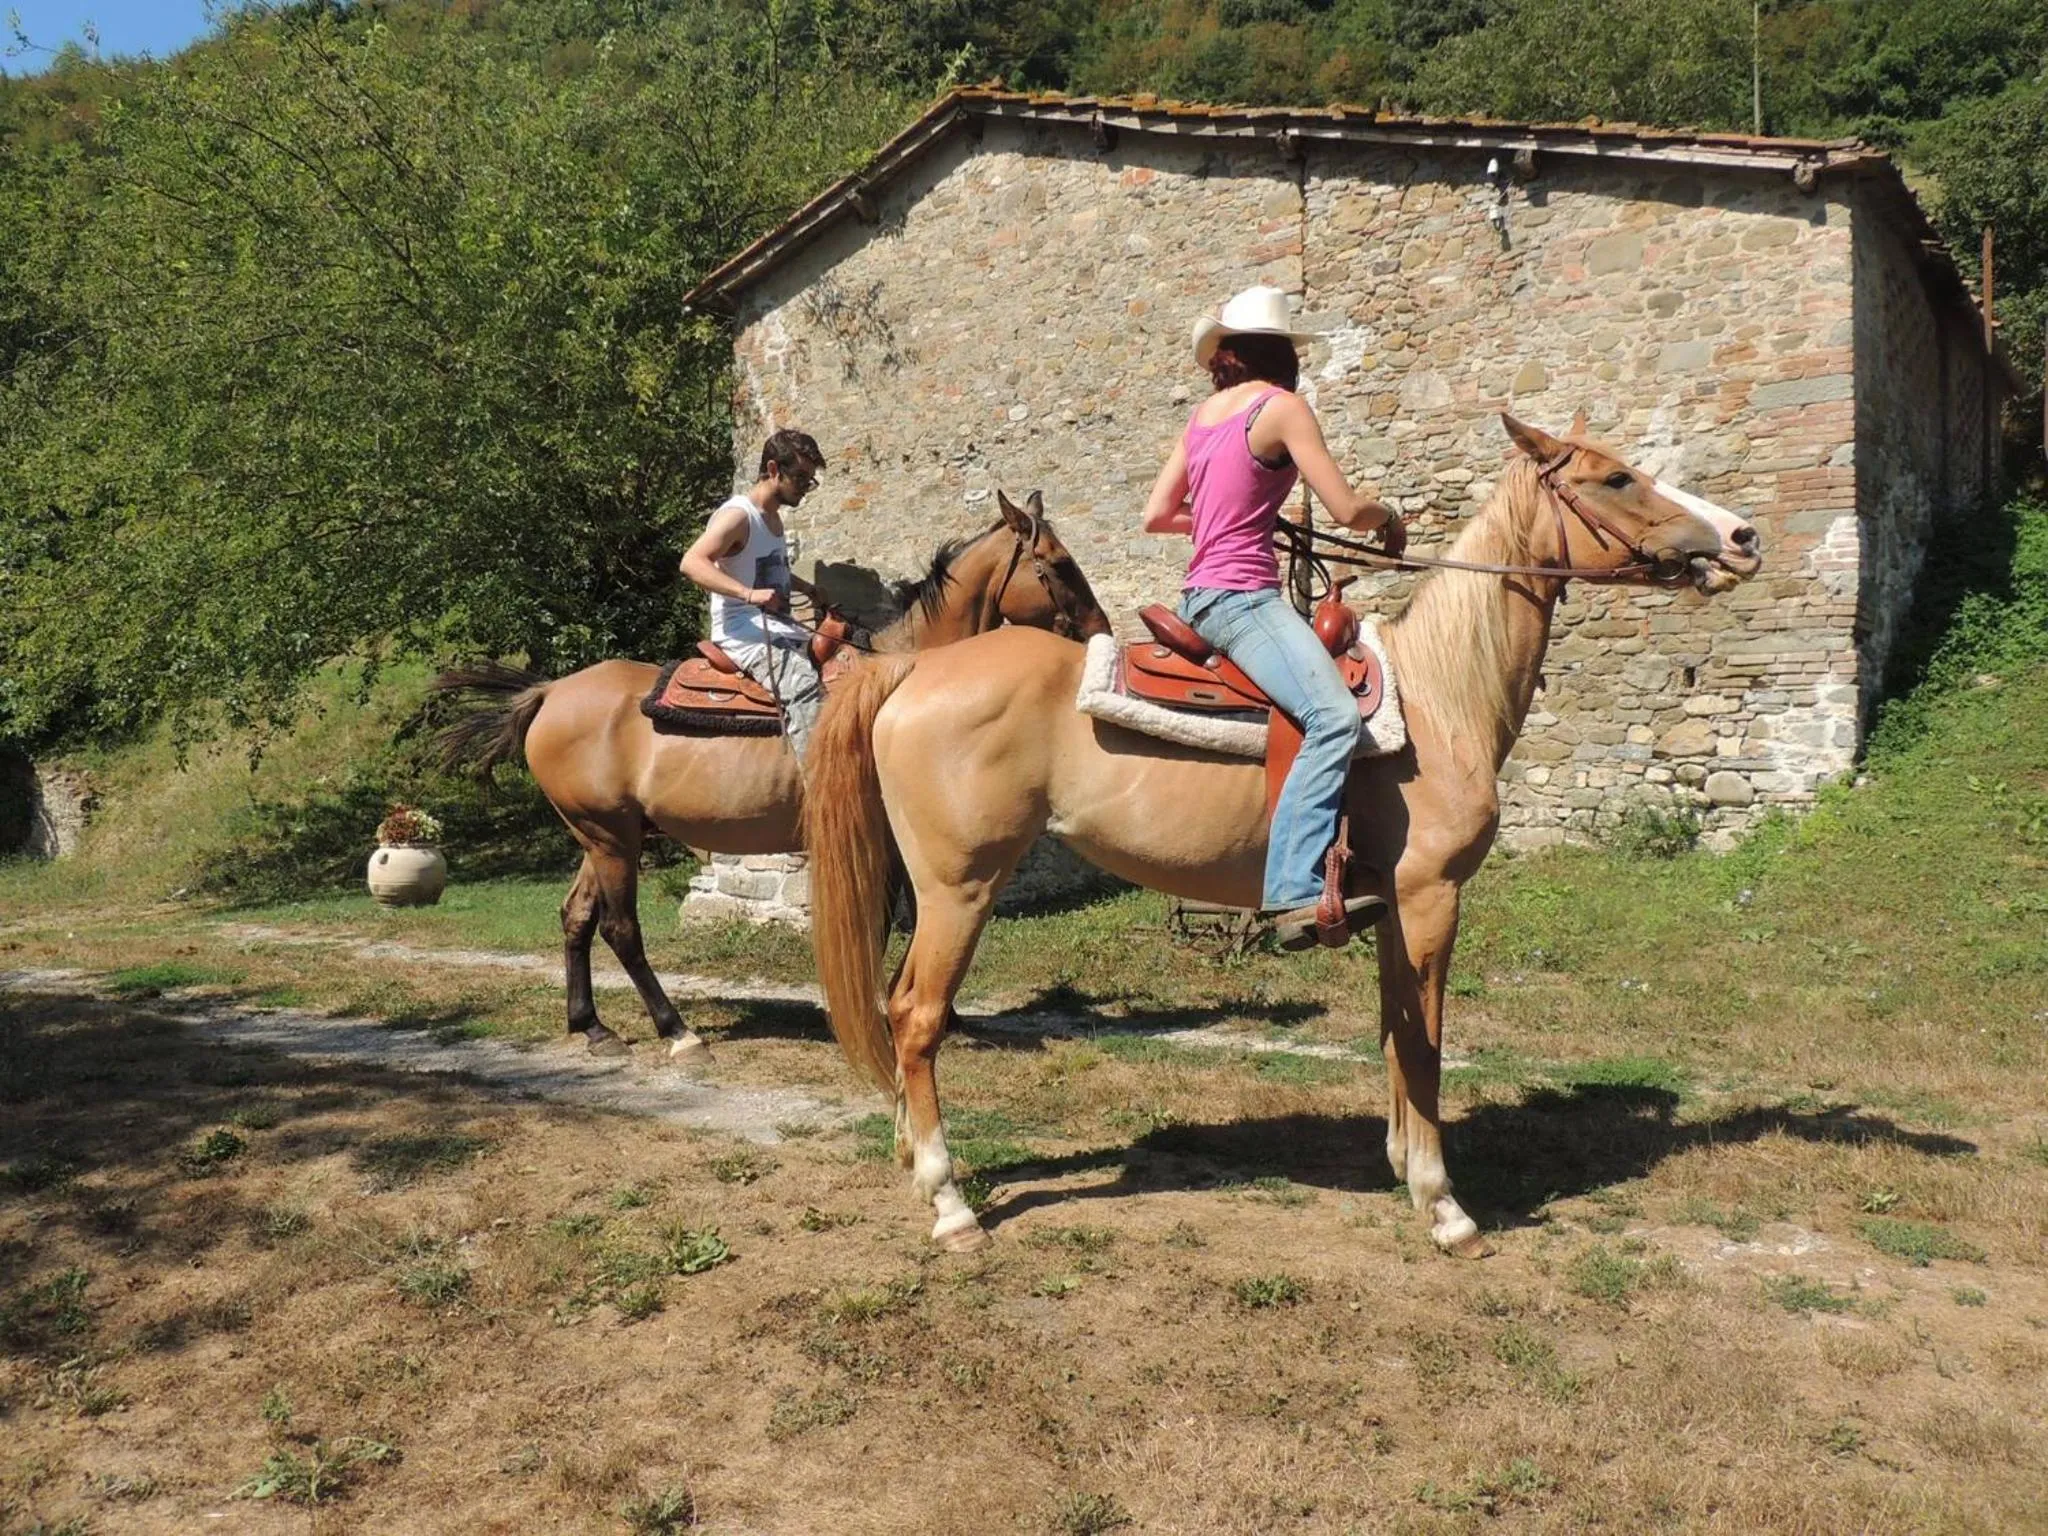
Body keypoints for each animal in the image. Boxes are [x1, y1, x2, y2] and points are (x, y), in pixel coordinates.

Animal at [432, 490, 1110, 1060]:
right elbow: (887, 918)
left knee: (575, 916)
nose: (1101, 632)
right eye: (1058, 564)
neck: (900, 682)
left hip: (600, 835)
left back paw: (591, 1026)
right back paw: (676, 1031)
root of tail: (549, 692)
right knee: (621, 929)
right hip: (611, 838)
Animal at [803, 415, 1762, 1255]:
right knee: (917, 1015)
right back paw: (950, 1203)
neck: (1441, 693)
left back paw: (913, 1162)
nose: (1742, 536)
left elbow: (1395, 1032)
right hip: (960, 887)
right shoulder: (1432, 898)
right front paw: (1445, 1206)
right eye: (1616, 478)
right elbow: (1427, 1042)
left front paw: (1402, 1166)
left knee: (899, 1005)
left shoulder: (1391, 908)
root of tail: (911, 669)